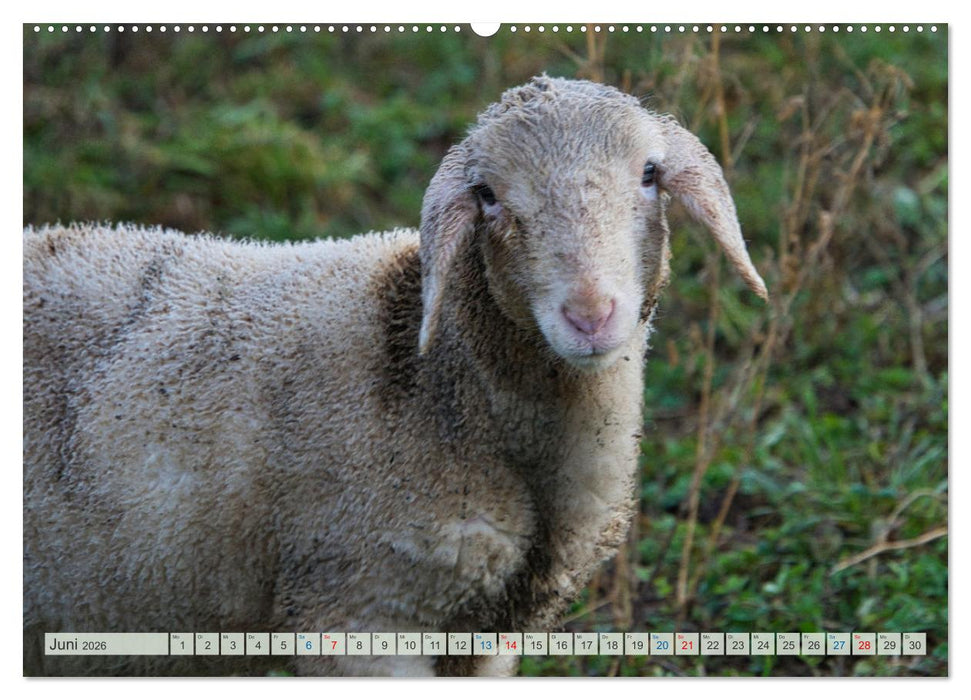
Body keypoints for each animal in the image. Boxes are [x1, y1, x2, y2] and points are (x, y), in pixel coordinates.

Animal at [23, 75, 766, 677]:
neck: (445, 390)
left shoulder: (486, 635)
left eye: (648, 173)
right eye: (487, 195)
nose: (589, 315)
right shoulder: (358, 608)